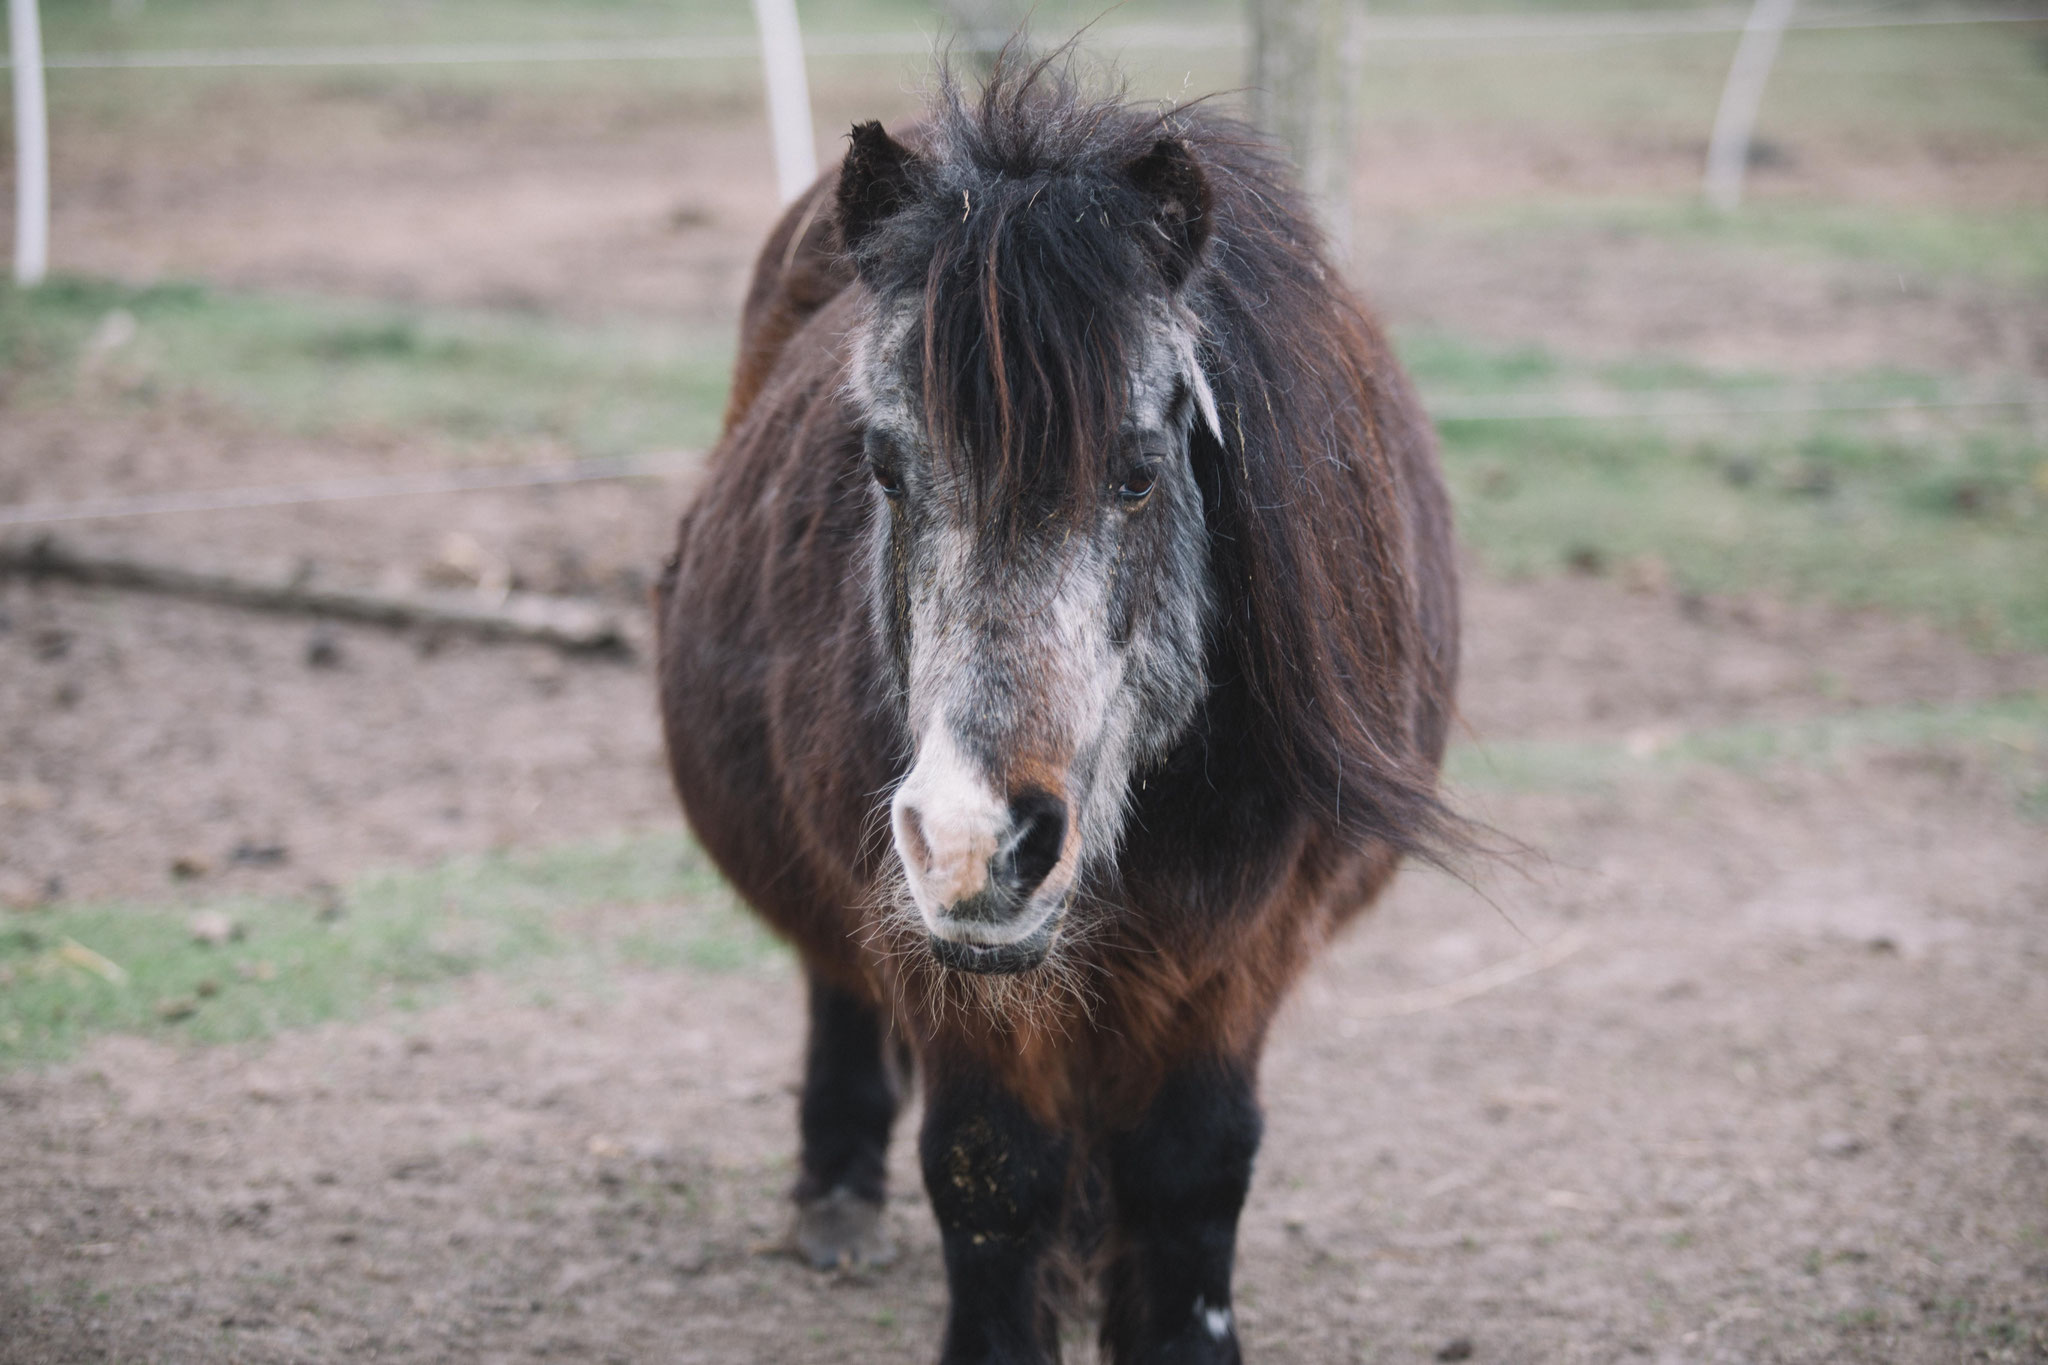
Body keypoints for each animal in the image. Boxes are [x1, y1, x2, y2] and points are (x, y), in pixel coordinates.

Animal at [651, 56, 1458, 1365]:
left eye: (1137, 471)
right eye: (881, 465)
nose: (972, 840)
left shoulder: (1243, 956)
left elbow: (1192, 1173)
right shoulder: (951, 980)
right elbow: (992, 1174)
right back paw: (837, 1192)